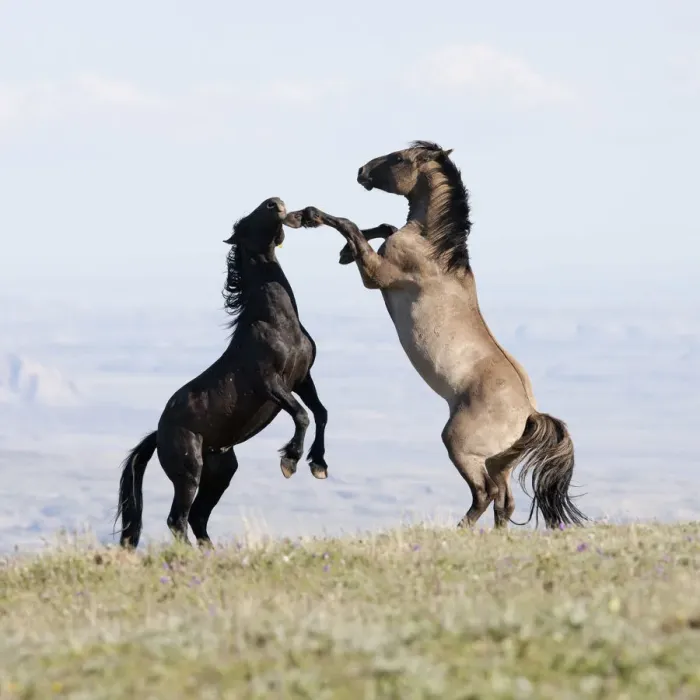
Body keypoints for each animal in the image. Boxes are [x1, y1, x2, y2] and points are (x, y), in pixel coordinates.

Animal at [115, 197, 331, 548]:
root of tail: (158, 434)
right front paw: (290, 461)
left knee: (198, 517)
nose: (276, 203)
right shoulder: (271, 383)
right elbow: (301, 415)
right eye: (247, 219)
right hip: (190, 472)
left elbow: (321, 413)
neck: (275, 322)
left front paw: (319, 464)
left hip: (221, 471)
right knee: (178, 518)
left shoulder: (302, 379)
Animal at [289, 141, 586, 529]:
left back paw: (460, 530)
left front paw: (308, 217)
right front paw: (344, 251)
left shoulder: (376, 275)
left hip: (461, 447)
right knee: (504, 501)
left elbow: (349, 224)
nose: (361, 171)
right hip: (499, 461)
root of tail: (529, 415)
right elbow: (383, 226)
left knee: (485, 493)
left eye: (399, 158)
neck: (433, 249)